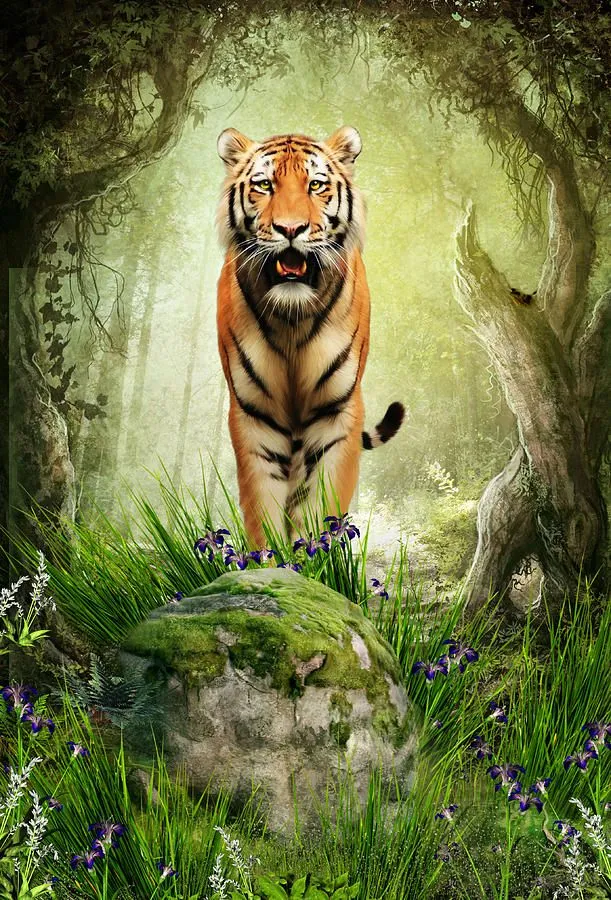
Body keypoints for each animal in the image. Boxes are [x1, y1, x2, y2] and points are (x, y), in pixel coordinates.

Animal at [215, 125, 405, 547]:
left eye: (315, 185)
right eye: (264, 185)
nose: (290, 229)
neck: (292, 318)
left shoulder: (336, 413)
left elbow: (322, 507)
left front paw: (317, 558)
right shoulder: (255, 415)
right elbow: (264, 512)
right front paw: (270, 559)